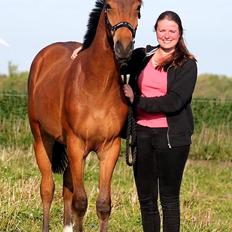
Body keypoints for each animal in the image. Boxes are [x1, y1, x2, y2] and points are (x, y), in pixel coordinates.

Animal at [27, 0, 141, 232]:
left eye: (138, 8)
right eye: (109, 6)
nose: (124, 48)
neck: (97, 86)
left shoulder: (109, 148)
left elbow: (103, 204)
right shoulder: (76, 144)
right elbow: (80, 202)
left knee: (66, 187)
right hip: (42, 139)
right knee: (48, 188)